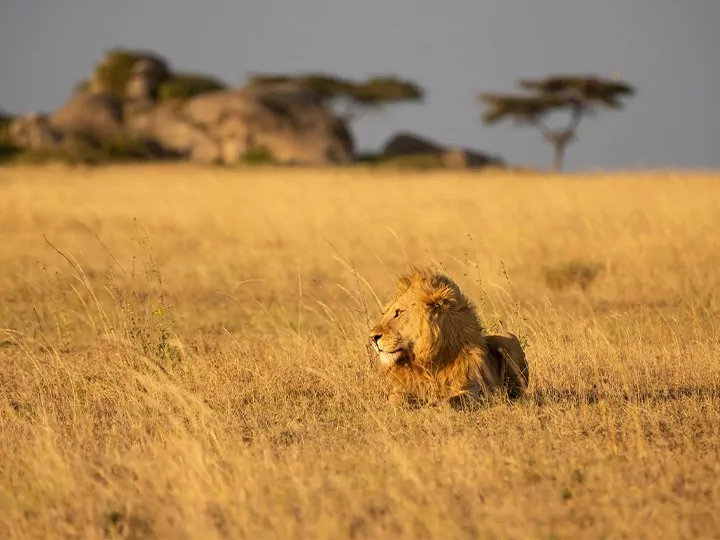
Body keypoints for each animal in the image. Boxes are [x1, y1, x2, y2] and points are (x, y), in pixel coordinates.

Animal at [366, 266, 528, 410]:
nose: (372, 338)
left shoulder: (479, 391)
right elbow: (395, 399)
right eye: (385, 313)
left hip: (508, 339)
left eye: (398, 312)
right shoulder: (404, 389)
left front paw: (435, 405)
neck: (428, 362)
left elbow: (450, 401)